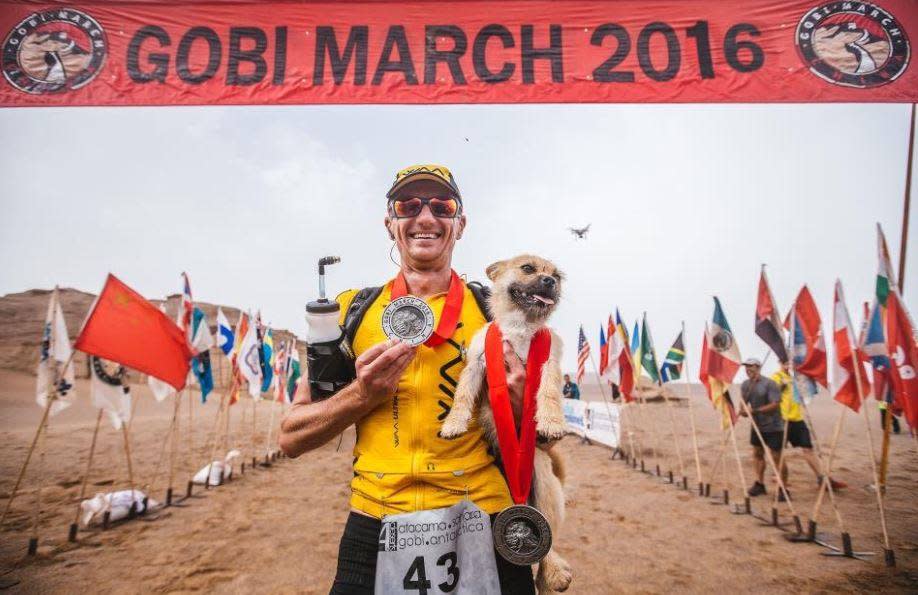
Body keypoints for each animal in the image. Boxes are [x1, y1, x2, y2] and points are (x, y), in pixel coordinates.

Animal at [442, 255, 572, 595]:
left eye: (556, 276)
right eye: (528, 268)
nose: (549, 282)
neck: (520, 327)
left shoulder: (549, 363)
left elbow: (549, 391)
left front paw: (551, 421)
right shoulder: (476, 364)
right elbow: (461, 395)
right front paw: (453, 423)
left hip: (543, 482)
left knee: (548, 542)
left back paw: (554, 572)